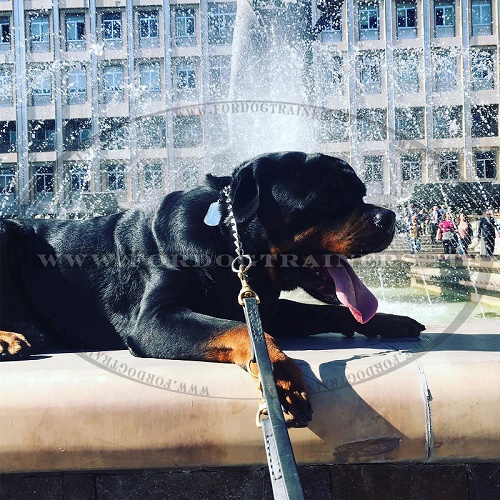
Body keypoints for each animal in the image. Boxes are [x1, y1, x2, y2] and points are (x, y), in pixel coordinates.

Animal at [0, 151, 424, 426]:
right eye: (328, 197)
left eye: (362, 191)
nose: (390, 217)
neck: (229, 243)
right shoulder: (154, 320)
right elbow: (243, 331)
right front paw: (281, 378)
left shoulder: (268, 306)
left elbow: (330, 311)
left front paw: (389, 320)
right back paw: (11, 338)